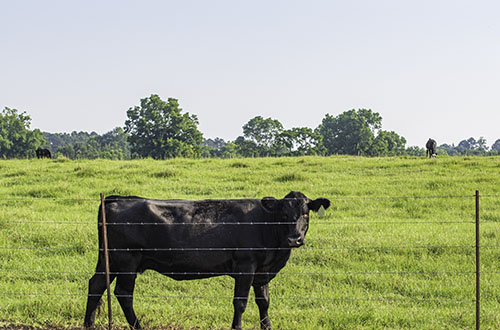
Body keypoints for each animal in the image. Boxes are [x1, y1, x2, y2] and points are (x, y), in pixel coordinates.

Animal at [84, 189, 330, 328]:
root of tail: (117, 199)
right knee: (123, 294)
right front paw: (236, 327)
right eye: (284, 214)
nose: (294, 238)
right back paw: (138, 327)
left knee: (96, 285)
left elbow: (264, 302)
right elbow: (240, 302)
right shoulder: (245, 266)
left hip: (109, 261)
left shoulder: (262, 271)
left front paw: (267, 327)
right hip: (127, 260)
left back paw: (88, 325)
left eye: (305, 213)